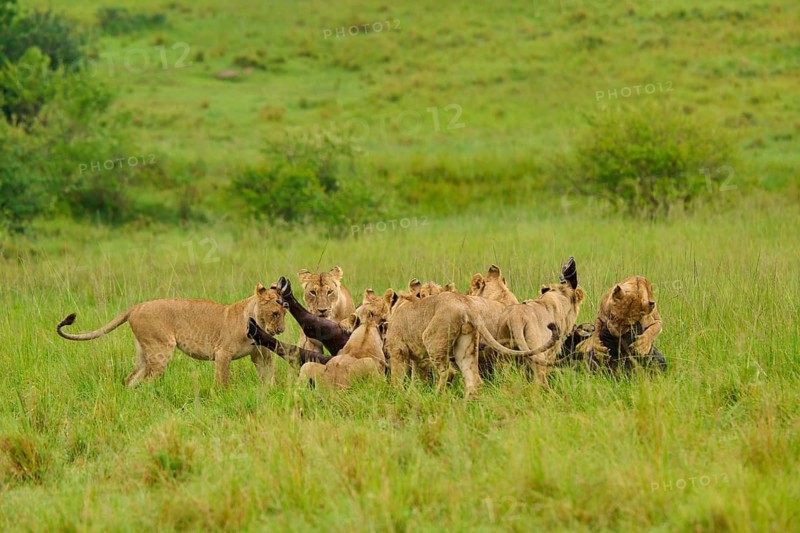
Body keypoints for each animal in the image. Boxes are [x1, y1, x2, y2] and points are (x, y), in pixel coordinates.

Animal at [57, 285, 288, 387]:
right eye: (275, 313)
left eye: (286, 313)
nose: (281, 331)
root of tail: (137, 306)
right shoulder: (223, 353)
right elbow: (221, 380)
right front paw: (222, 396)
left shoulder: (261, 355)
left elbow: (269, 376)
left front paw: (272, 393)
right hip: (161, 349)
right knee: (147, 381)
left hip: (143, 352)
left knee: (131, 379)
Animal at [384, 291, 558, 398]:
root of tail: (467, 303)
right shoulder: (419, 359)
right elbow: (416, 379)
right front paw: (413, 394)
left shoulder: (398, 350)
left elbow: (397, 378)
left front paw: (396, 395)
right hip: (465, 346)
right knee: (474, 380)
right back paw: (464, 406)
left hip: (432, 339)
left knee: (449, 372)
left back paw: (437, 396)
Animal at [496, 257, 586, 386]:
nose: (571, 259)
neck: (559, 295)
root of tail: (515, 319)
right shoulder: (553, 350)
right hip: (537, 351)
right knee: (539, 380)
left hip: (504, 355)